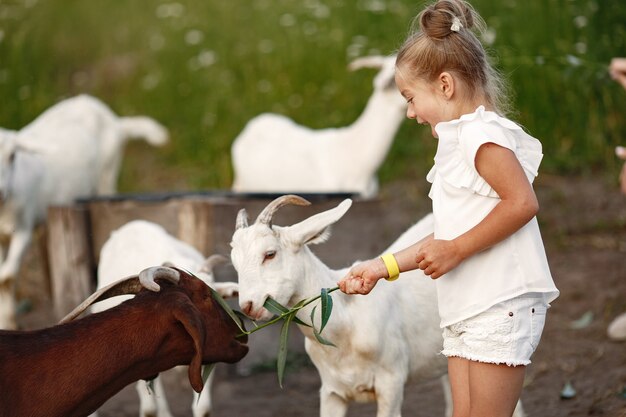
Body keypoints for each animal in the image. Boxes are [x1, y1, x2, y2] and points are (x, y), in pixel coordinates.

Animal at [0, 95, 168, 328]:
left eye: (12, 156)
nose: (0, 192)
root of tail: (115, 120)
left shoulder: (23, 227)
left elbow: (6, 278)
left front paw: (8, 323)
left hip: (107, 174)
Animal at [227, 195, 524, 416]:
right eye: (235, 262)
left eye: (270, 254)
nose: (249, 305)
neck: (344, 324)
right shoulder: (332, 392)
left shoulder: (391, 384)